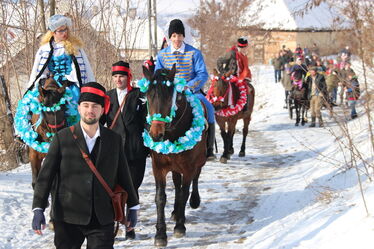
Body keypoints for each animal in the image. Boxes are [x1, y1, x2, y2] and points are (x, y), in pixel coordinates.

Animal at [142, 64, 207, 247]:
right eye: (148, 96)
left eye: (171, 97)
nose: (156, 134)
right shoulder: (158, 167)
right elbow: (160, 197)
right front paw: (160, 234)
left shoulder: (189, 167)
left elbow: (185, 191)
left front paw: (179, 226)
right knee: (177, 186)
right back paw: (176, 211)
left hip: (199, 161)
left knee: (195, 179)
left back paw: (192, 202)